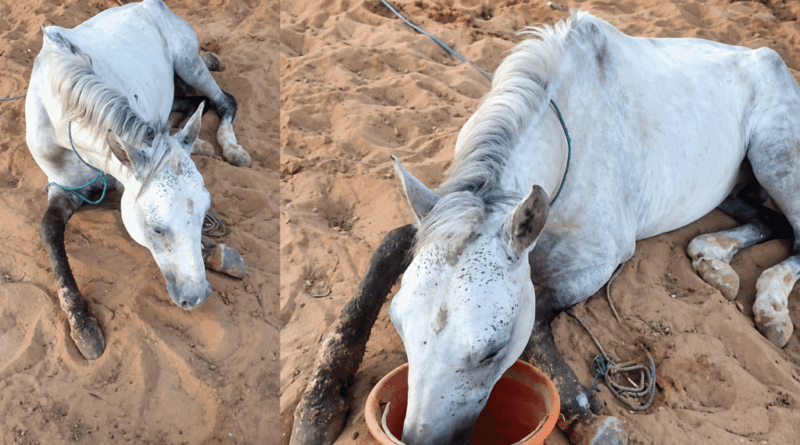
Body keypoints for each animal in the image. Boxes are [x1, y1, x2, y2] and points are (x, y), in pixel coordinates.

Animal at [25, 0, 251, 361]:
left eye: (205, 215)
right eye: (156, 229)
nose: (197, 297)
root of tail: (152, 4)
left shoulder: (122, 179)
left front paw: (220, 255)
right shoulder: (64, 187)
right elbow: (49, 231)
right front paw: (83, 326)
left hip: (188, 63)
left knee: (223, 99)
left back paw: (229, 147)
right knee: (189, 105)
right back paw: (197, 142)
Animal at [389, 11, 800, 445]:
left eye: (493, 351)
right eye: (398, 324)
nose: (417, 439)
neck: (565, 144)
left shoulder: (599, 261)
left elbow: (538, 317)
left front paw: (584, 416)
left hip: (774, 156)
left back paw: (772, 309)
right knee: (768, 219)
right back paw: (714, 261)